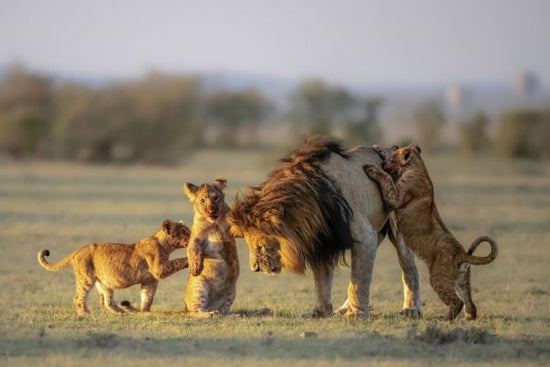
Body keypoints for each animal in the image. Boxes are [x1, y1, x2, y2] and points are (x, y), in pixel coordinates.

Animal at [229, 136, 422, 320]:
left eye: (260, 244)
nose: (255, 268)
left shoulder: (364, 237)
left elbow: (359, 280)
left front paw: (357, 314)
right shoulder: (320, 240)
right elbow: (322, 280)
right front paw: (321, 312)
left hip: (398, 221)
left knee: (409, 267)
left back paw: (411, 309)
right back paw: (343, 310)